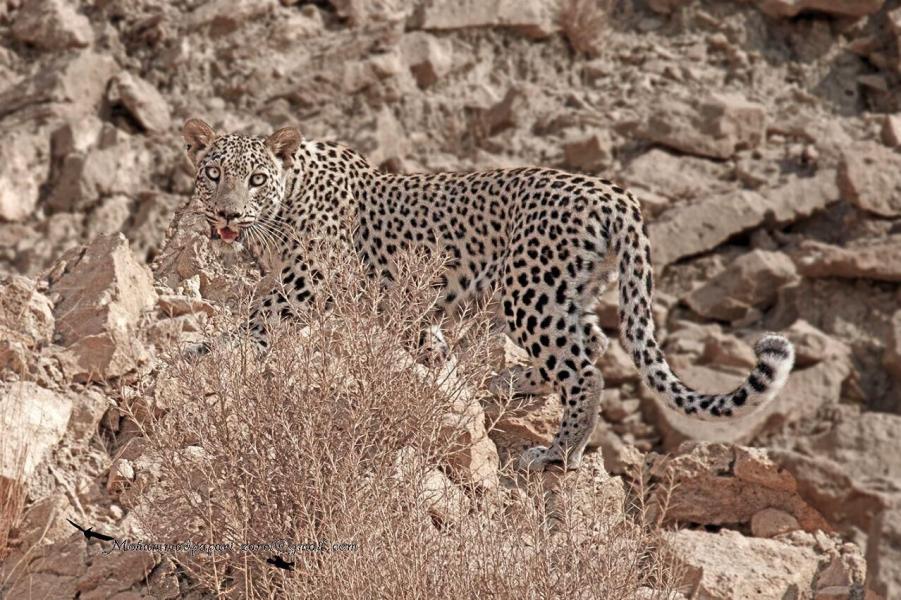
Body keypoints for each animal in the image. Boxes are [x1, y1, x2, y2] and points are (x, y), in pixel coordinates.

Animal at [181, 117, 796, 474]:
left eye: (256, 179)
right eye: (212, 173)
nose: (227, 214)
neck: (285, 202)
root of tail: (613, 191)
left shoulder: (309, 279)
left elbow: (258, 322)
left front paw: (208, 350)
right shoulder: (405, 305)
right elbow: (425, 345)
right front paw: (443, 377)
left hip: (532, 289)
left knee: (584, 368)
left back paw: (556, 452)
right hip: (570, 290)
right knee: (591, 342)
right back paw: (503, 383)